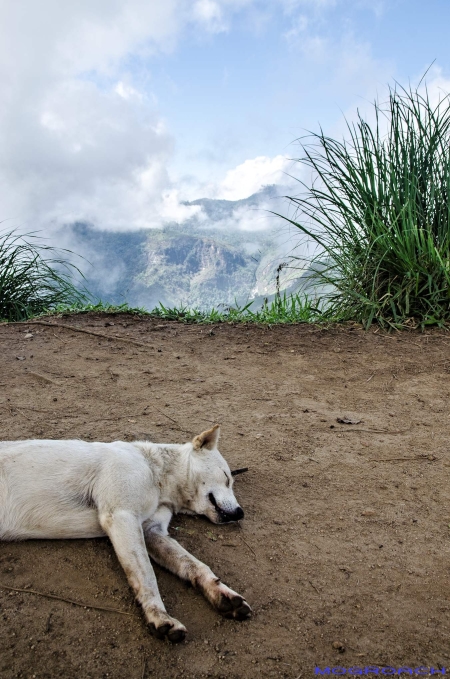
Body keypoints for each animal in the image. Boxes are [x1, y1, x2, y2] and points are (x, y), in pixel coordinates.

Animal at [0, 424, 253, 644]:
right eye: (227, 478)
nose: (240, 513)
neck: (156, 473)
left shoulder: (151, 531)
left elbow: (195, 565)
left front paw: (221, 593)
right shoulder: (122, 517)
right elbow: (147, 576)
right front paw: (160, 617)